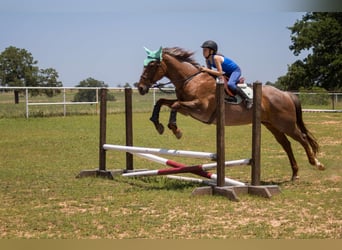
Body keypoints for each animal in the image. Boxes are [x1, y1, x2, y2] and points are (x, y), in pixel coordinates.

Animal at [138, 46, 324, 180]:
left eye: (152, 65)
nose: (140, 88)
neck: (191, 79)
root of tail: (286, 94)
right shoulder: (187, 109)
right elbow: (163, 102)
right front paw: (158, 124)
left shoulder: (200, 108)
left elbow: (175, 105)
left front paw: (175, 130)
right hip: (271, 125)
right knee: (286, 144)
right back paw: (295, 173)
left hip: (286, 124)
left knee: (302, 138)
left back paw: (316, 163)